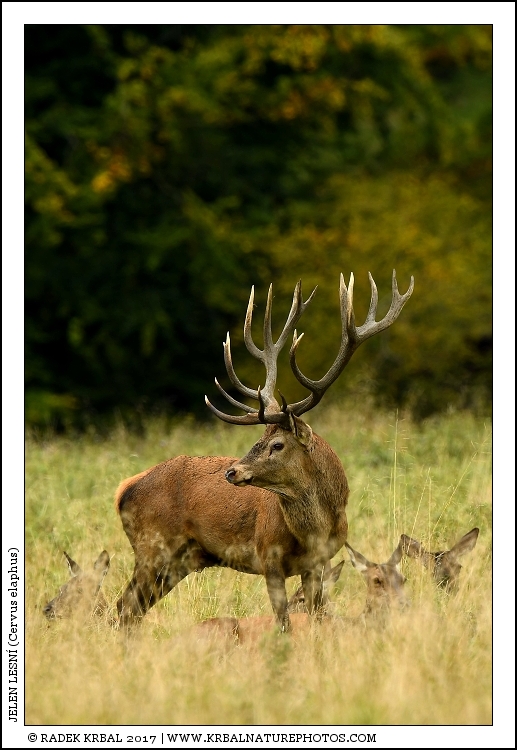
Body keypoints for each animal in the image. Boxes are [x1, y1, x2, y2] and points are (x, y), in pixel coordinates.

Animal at [115, 271, 414, 632]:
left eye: (277, 444)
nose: (232, 471)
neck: (314, 532)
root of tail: (124, 489)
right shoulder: (267, 556)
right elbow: (283, 622)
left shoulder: (318, 564)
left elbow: (316, 615)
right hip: (152, 548)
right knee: (122, 607)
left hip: (177, 561)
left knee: (130, 609)